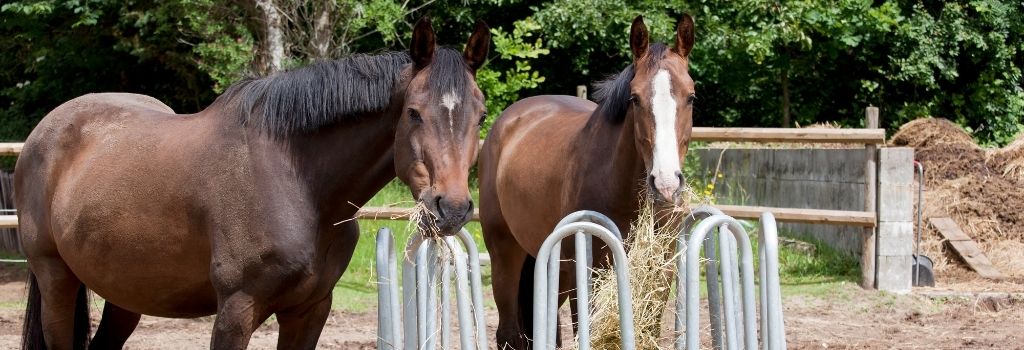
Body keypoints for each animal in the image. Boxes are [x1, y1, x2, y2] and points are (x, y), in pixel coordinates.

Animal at [18, 17, 489, 350]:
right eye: (413, 112)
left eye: (481, 114)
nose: (452, 208)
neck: (297, 183)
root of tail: (42, 134)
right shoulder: (236, 309)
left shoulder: (310, 311)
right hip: (56, 278)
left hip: (125, 293)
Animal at [479, 15, 696, 347]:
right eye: (635, 98)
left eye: (691, 96)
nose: (665, 184)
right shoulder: (586, 271)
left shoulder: (660, 270)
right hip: (506, 254)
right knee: (509, 334)